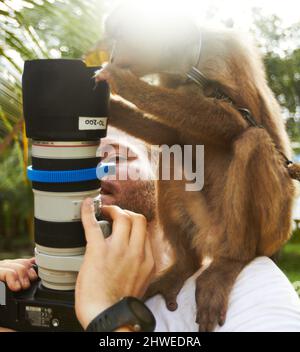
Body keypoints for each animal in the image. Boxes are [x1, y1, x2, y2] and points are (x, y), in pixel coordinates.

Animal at [95, 2, 296, 332]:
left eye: (120, 36)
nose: (111, 52)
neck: (189, 63)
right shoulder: (171, 78)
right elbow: (172, 136)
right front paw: (110, 105)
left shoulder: (224, 49)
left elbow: (235, 122)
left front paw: (123, 84)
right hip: (205, 222)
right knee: (170, 151)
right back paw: (186, 264)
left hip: (273, 229)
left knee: (252, 139)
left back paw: (233, 259)